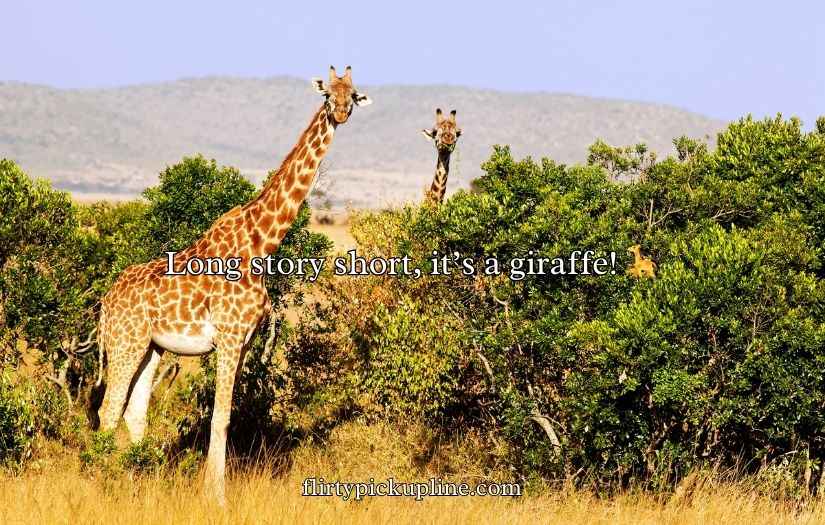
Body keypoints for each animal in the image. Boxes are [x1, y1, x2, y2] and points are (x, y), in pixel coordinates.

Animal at [95, 66, 371, 502]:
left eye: (354, 93)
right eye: (328, 93)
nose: (341, 112)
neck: (262, 244)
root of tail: (105, 301)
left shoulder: (244, 340)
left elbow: (225, 415)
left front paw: (212, 491)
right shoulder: (227, 334)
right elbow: (220, 417)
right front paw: (216, 498)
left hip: (151, 347)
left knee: (133, 412)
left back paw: (136, 482)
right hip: (126, 340)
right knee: (108, 409)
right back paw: (103, 483)